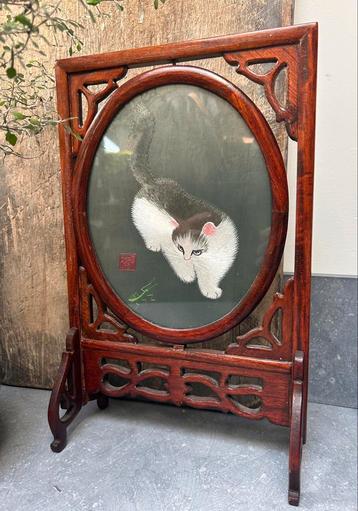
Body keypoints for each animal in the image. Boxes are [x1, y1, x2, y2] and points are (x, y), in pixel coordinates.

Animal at [128, 101, 238, 298]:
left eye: (197, 251)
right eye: (181, 248)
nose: (187, 258)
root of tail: (153, 181)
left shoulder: (220, 259)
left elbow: (211, 274)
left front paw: (210, 289)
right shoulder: (172, 247)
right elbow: (177, 261)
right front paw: (188, 276)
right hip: (144, 219)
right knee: (146, 231)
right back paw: (153, 244)